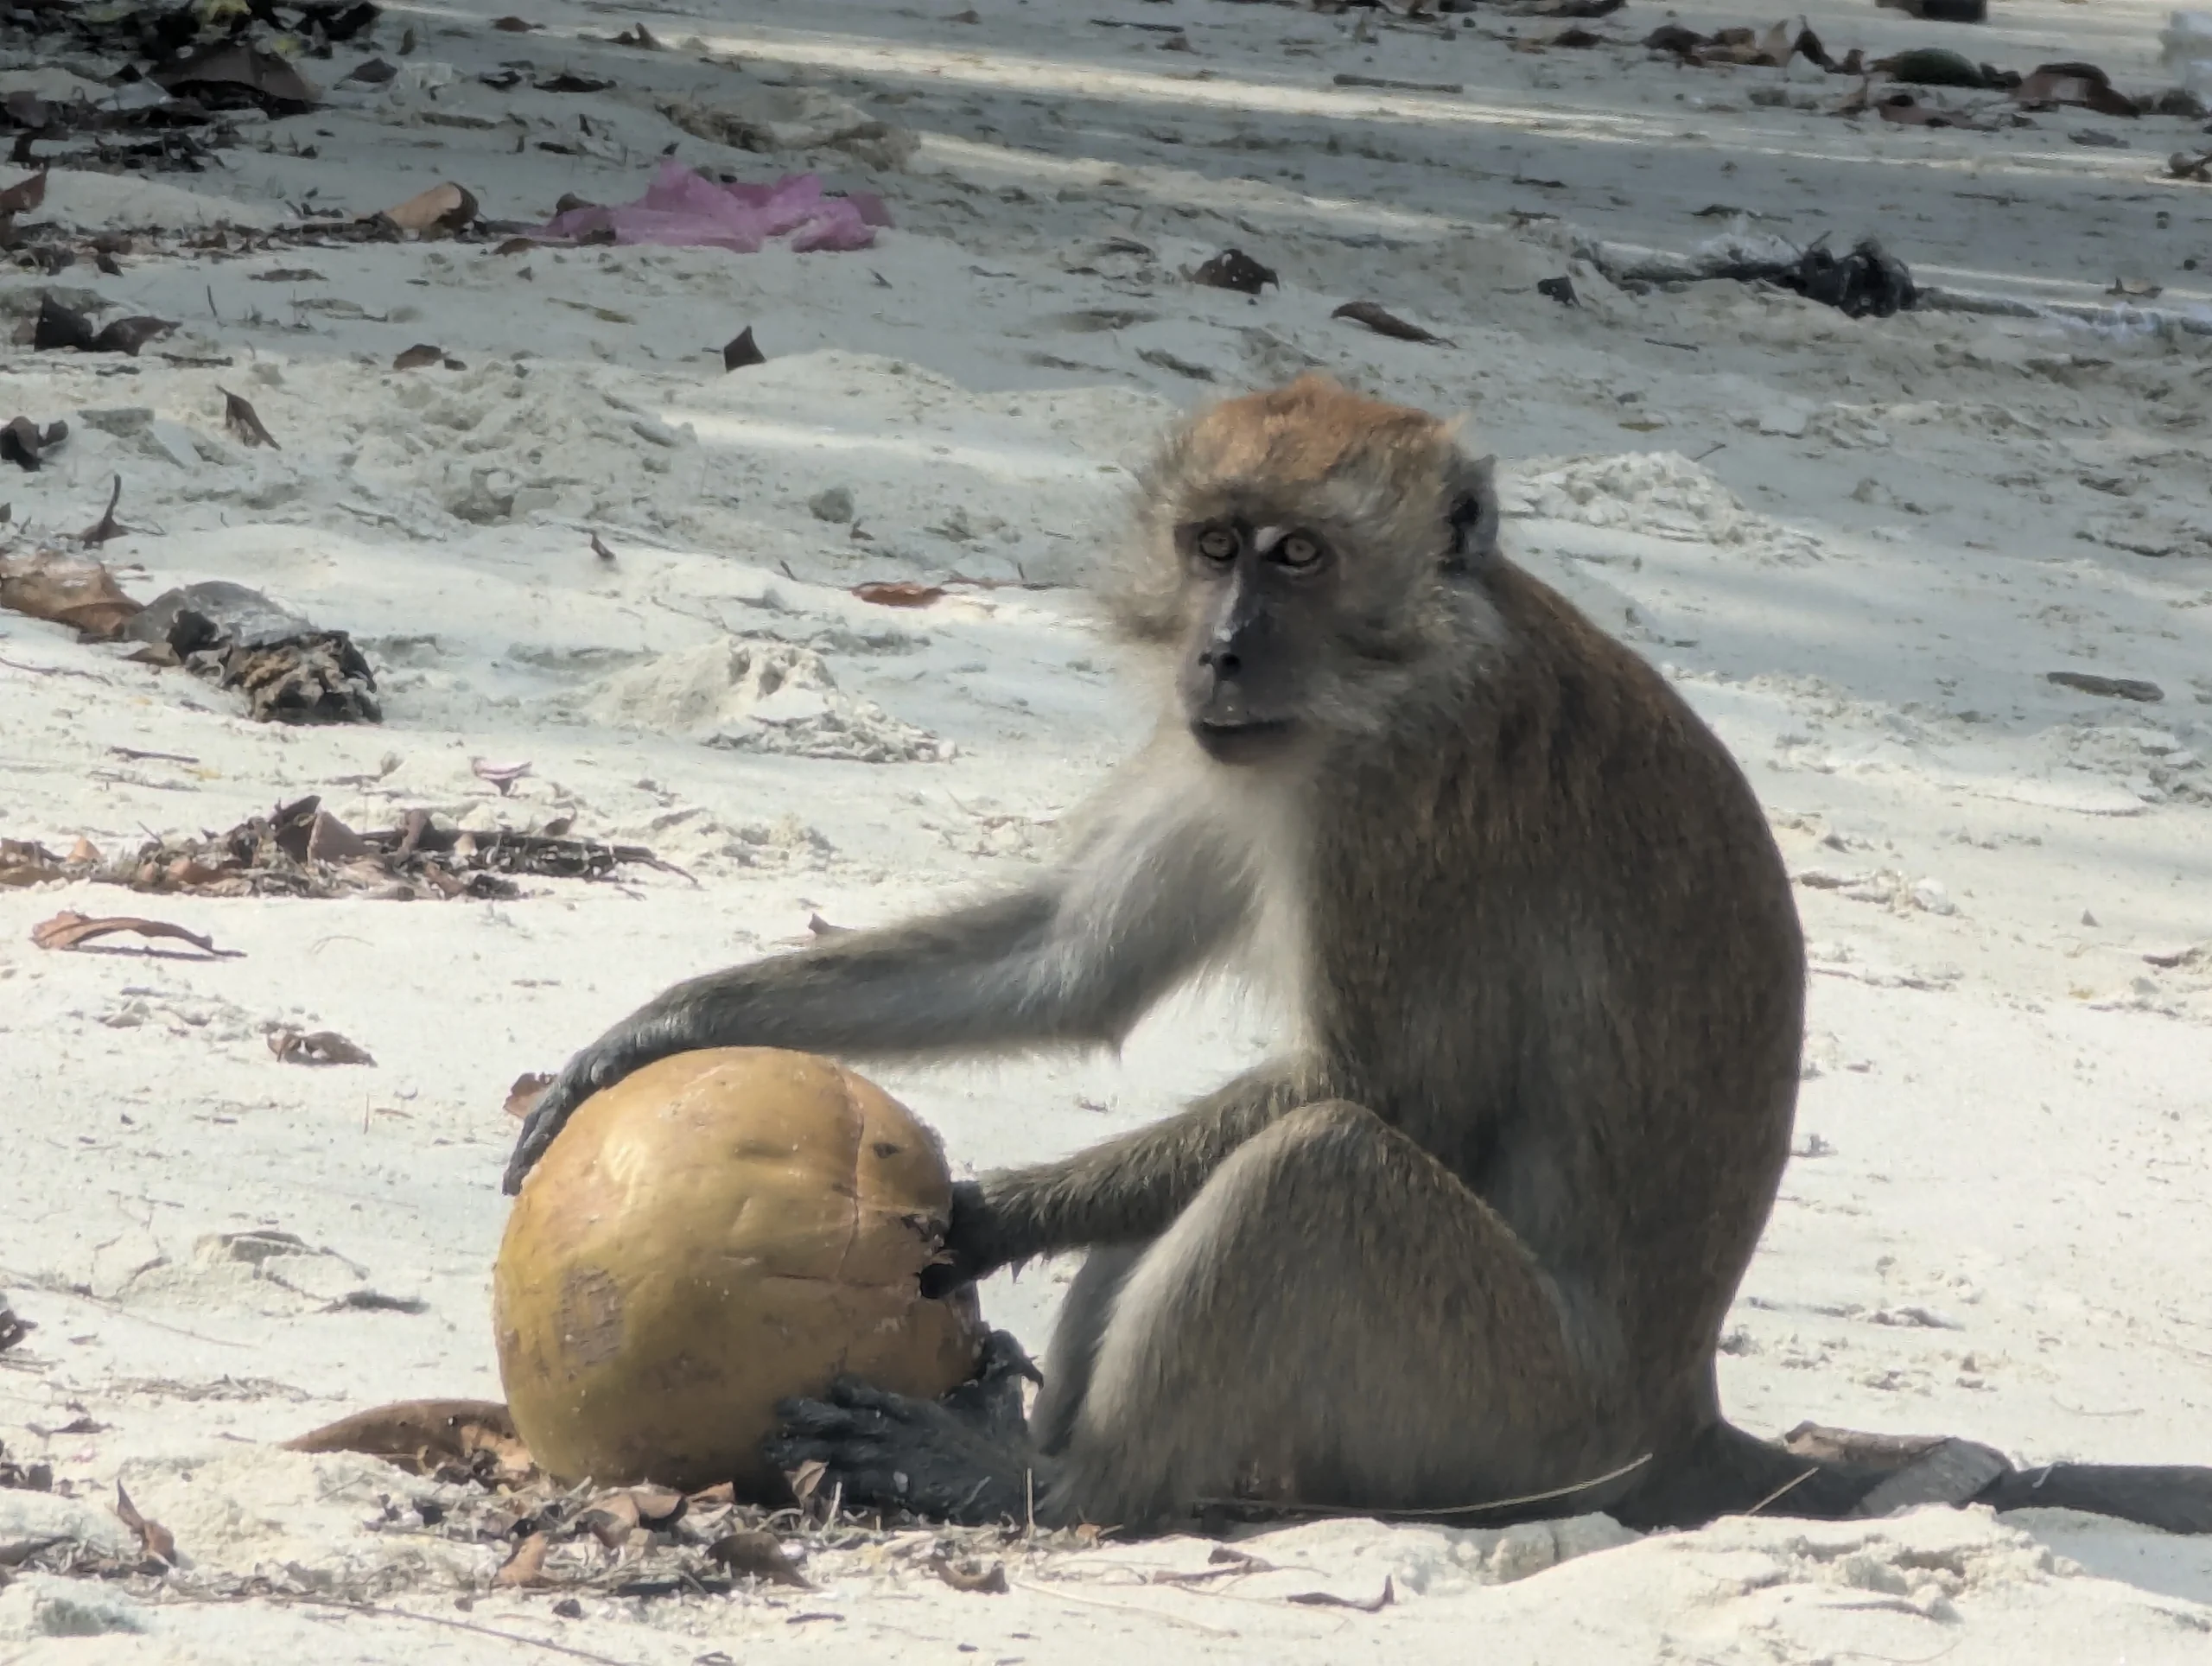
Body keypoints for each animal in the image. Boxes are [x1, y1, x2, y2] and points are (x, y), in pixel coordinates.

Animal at [506, 376, 2212, 1539]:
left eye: (1300, 557)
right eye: (1213, 546)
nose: (1218, 648)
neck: (1393, 674)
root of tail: (1680, 1421)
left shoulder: (1402, 807)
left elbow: (1377, 1092)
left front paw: (975, 1220)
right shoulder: (1235, 755)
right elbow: (1071, 968)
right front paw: (657, 1033)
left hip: (1511, 1416)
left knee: (1315, 1166)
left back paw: (1063, 1486)